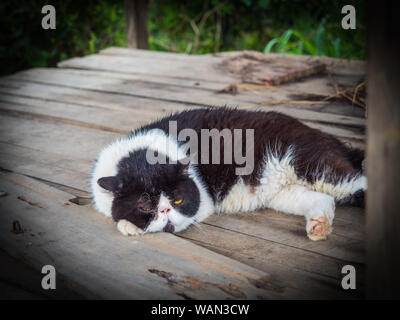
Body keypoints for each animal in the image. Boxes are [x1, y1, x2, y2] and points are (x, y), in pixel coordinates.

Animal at [92, 107, 368, 240]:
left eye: (178, 200)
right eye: (146, 207)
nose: (165, 210)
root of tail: (329, 137)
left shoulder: (202, 201)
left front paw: (128, 225)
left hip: (314, 164)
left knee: (358, 182)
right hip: (283, 193)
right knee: (324, 199)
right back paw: (319, 226)